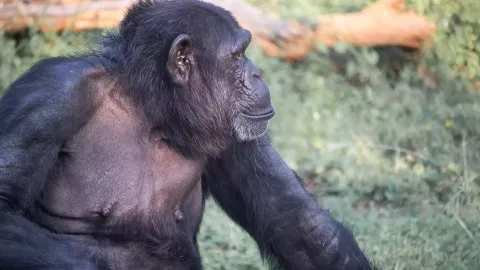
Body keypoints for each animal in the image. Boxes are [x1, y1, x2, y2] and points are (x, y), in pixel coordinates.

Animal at [0, 0, 374, 270]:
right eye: (238, 56)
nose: (257, 73)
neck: (149, 108)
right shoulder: (49, 96)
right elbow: (5, 210)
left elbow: (293, 219)